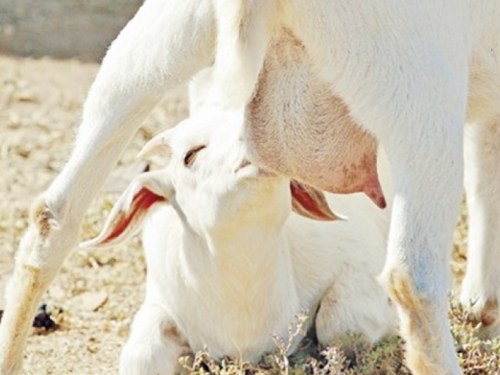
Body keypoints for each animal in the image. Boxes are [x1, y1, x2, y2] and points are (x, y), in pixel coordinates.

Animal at [0, 0, 500, 375]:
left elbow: (486, 179)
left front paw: (482, 315)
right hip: (418, 92)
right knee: (411, 281)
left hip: (152, 46)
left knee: (53, 214)